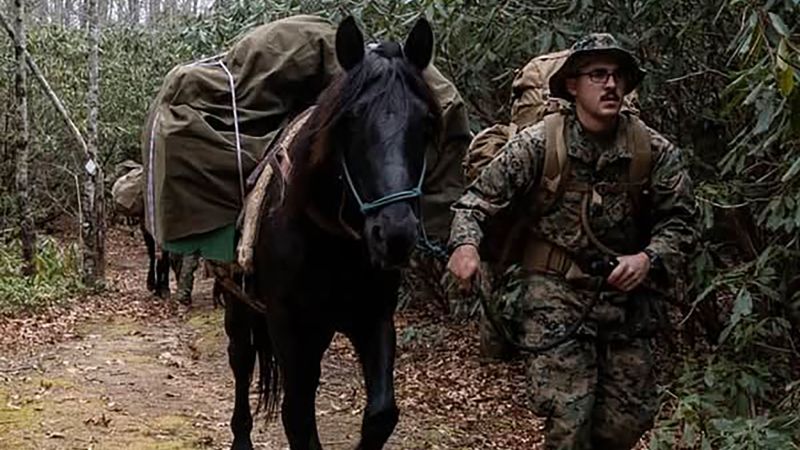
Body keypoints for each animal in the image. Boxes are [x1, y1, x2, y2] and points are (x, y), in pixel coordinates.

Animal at [222, 15, 440, 450]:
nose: (395, 234)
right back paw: (241, 438)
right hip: (238, 302)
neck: (332, 245)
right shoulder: (287, 323)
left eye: (425, 123)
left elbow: (381, 415)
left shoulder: (372, 318)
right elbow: (297, 416)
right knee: (242, 359)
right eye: (350, 119)